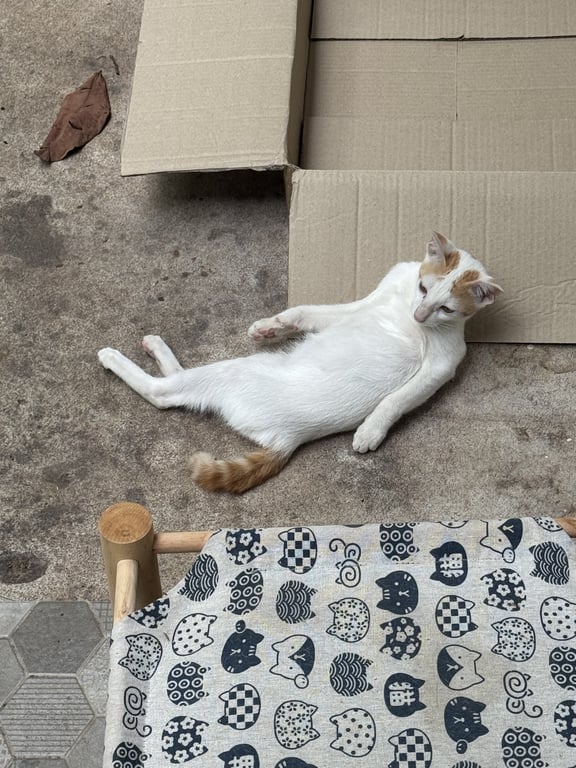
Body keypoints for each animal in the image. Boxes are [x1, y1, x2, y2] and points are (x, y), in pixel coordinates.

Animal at [98, 232, 501, 493]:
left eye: (446, 308)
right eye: (423, 288)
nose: (418, 316)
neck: (404, 302)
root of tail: (288, 439)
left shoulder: (441, 366)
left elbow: (396, 400)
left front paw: (369, 432)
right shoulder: (361, 306)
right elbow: (306, 312)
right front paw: (268, 326)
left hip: (229, 370)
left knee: (164, 392)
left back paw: (117, 356)